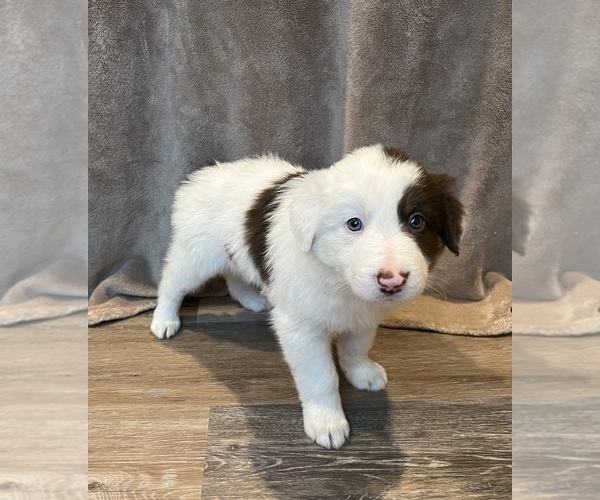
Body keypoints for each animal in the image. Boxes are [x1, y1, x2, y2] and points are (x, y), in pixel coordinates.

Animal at [151, 144, 464, 450]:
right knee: (172, 281)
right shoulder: (301, 329)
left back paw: (251, 299)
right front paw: (326, 422)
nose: (393, 281)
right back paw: (164, 320)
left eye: (416, 221)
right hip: (196, 254)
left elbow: (357, 347)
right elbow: (320, 376)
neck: (338, 281)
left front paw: (361, 372)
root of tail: (205, 172)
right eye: (353, 224)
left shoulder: (364, 314)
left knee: (234, 274)